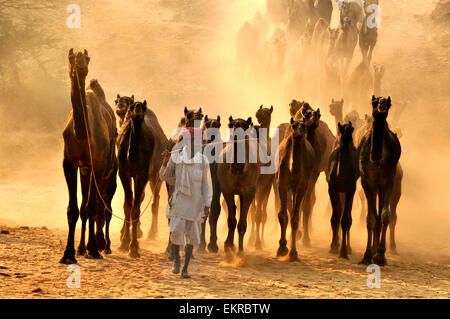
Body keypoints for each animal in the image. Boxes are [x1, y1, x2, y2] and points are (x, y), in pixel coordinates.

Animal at [60, 49, 118, 264]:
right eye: (71, 58)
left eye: (87, 59)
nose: (80, 67)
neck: (82, 134)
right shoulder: (69, 162)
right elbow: (74, 209)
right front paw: (68, 253)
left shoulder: (98, 165)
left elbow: (92, 207)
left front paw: (94, 250)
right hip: (85, 168)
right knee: (86, 207)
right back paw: (81, 248)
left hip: (104, 170)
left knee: (99, 206)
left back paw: (97, 246)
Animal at [217, 118, 258, 258]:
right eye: (231, 125)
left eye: (245, 126)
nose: (236, 136)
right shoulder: (226, 190)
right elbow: (231, 220)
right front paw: (228, 246)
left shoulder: (249, 193)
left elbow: (242, 223)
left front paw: (240, 250)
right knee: (233, 212)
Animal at [276, 117, 314, 260]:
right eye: (294, 125)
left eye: (304, 124)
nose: (302, 127)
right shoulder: (282, 183)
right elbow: (282, 215)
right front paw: (281, 249)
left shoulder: (302, 186)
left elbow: (295, 218)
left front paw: (293, 253)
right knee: (289, 207)